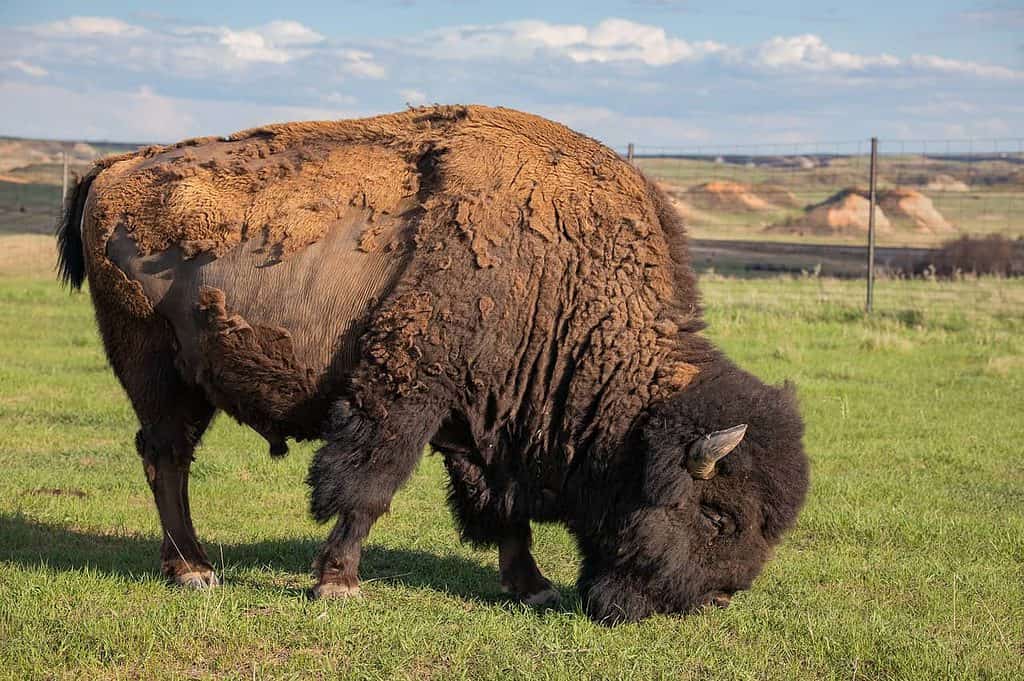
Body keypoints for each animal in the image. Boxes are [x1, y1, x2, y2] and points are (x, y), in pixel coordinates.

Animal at [58, 104, 806, 622]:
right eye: (718, 517)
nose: (717, 599)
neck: (559, 277)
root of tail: (112, 170)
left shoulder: (484, 420)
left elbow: (500, 505)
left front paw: (532, 586)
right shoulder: (403, 396)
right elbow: (367, 488)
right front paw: (337, 584)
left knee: (166, 457)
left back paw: (188, 565)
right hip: (156, 372)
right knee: (167, 459)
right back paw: (194, 569)